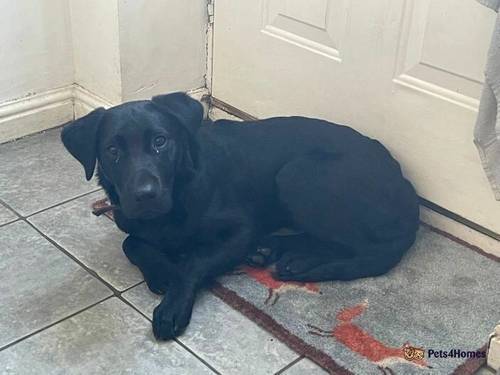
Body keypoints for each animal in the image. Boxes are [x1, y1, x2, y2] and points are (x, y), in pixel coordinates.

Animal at [60, 93, 420, 340]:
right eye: (112, 151)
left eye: (160, 141)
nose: (145, 194)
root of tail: (405, 185)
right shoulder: (127, 218)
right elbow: (131, 243)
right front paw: (161, 270)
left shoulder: (241, 230)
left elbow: (194, 261)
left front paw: (173, 305)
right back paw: (277, 251)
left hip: (297, 173)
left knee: (361, 247)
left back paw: (296, 259)